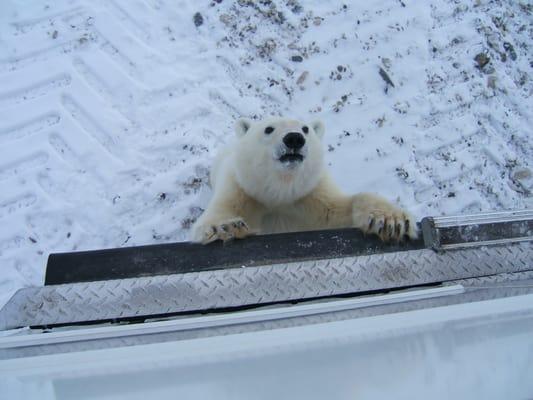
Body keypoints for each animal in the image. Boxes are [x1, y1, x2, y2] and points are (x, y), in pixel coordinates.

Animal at [189, 116, 418, 244]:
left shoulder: (309, 194)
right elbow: (217, 214)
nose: (294, 138)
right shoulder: (241, 188)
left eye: (306, 129)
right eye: (269, 128)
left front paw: (391, 221)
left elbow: (336, 213)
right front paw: (226, 227)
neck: (279, 191)